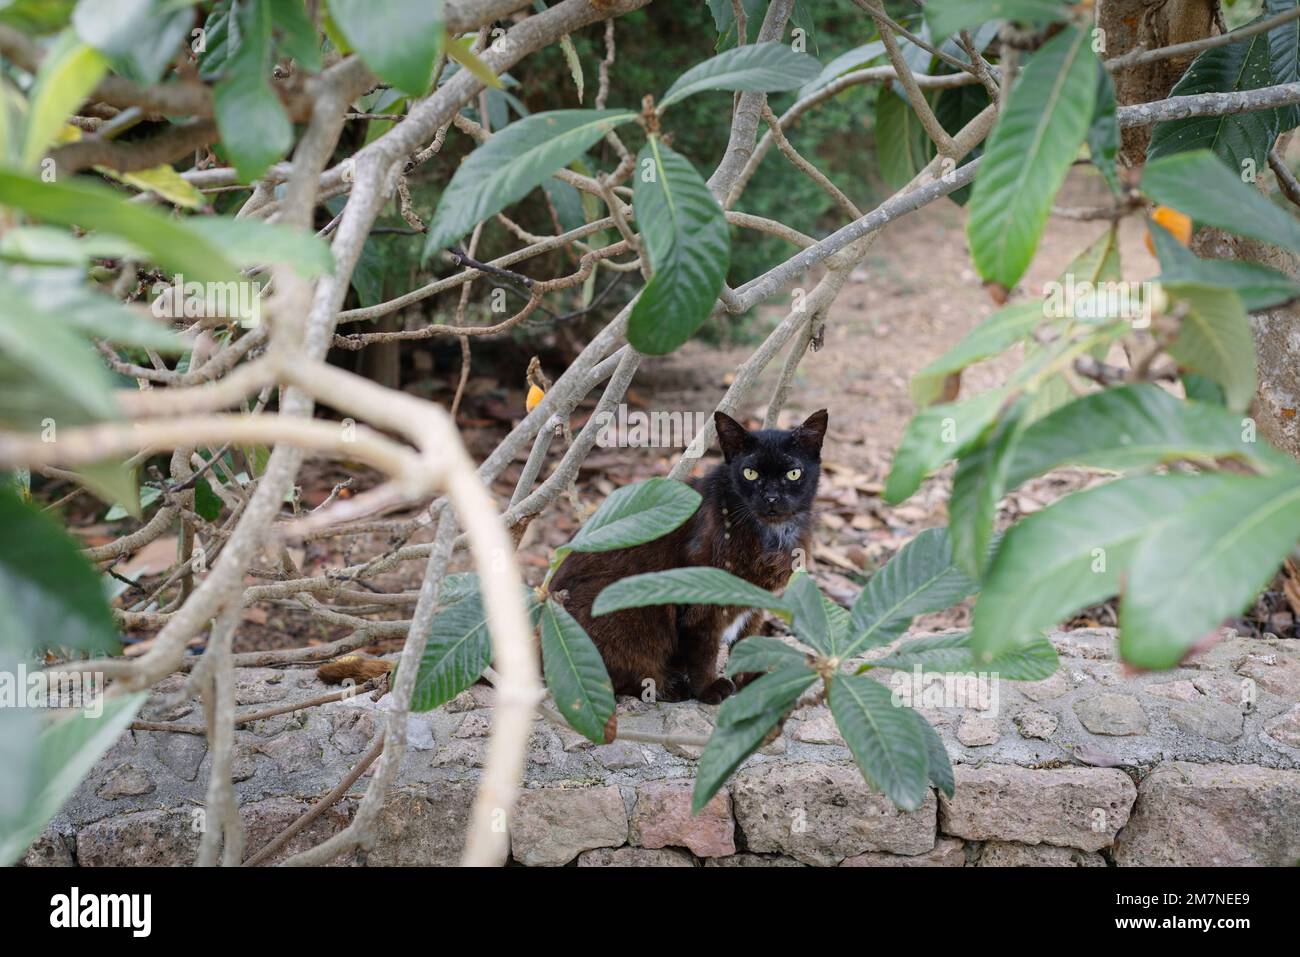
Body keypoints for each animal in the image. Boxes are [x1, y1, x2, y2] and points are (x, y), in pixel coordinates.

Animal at [548, 408, 821, 702]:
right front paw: (707, 689)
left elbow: (747, 639)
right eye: (750, 473)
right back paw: (668, 686)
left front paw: (749, 681)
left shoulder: (756, 601)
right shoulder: (702, 601)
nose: (771, 498)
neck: (771, 535)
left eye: (793, 473)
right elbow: (704, 648)